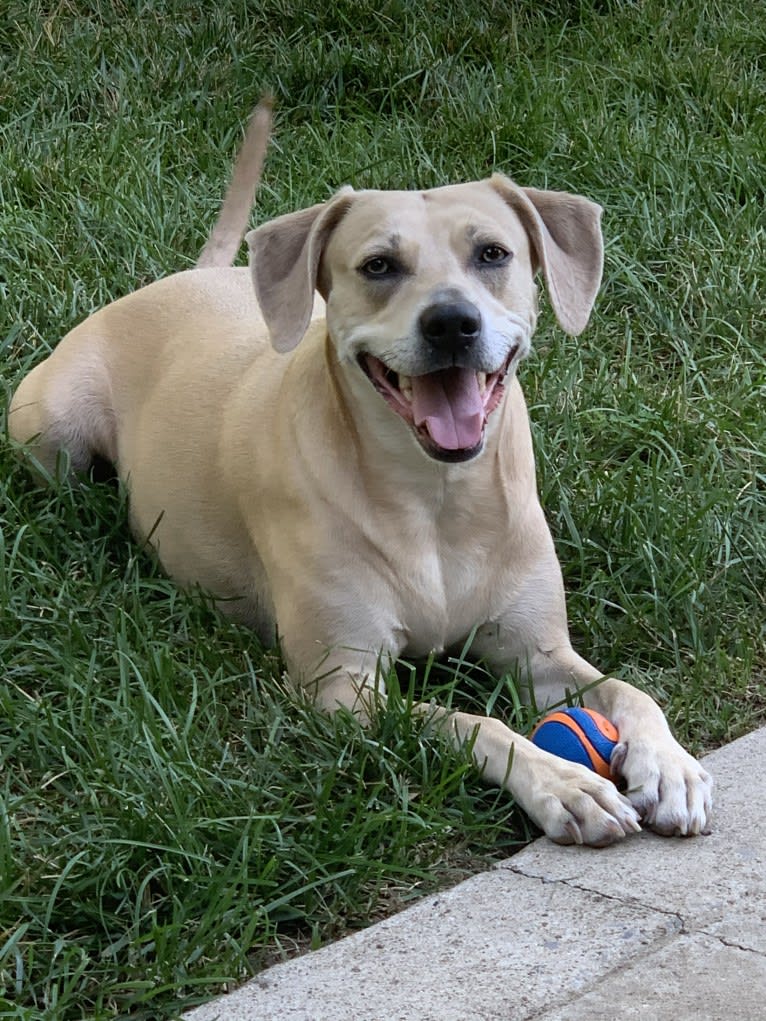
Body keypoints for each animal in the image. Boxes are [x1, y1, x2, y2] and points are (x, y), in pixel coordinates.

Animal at [7, 107, 714, 849]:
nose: (452, 322)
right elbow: (465, 721)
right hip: (49, 430)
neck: (437, 497)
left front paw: (668, 764)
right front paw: (560, 781)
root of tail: (180, 278)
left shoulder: (537, 651)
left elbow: (627, 689)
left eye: (493, 254)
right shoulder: (343, 686)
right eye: (379, 265)